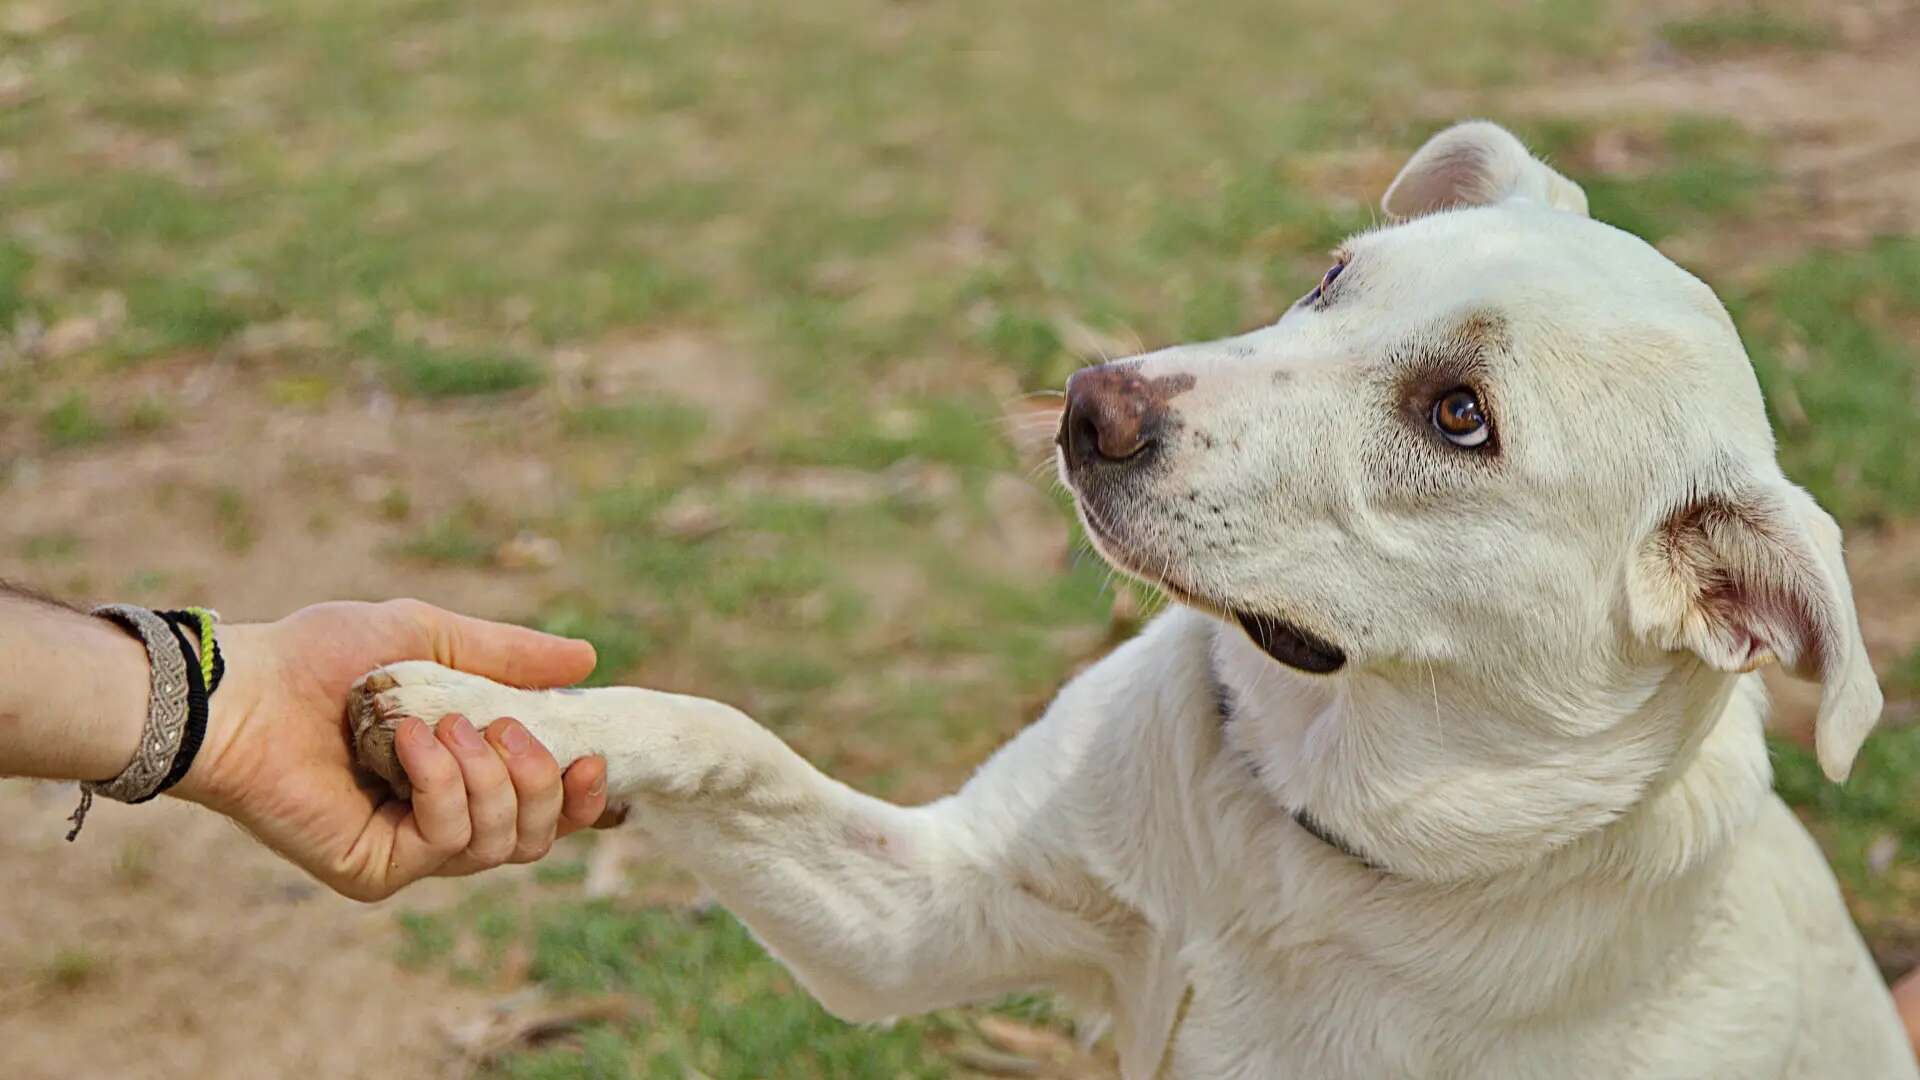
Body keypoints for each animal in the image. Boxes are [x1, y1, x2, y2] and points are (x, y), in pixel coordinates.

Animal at [353, 122, 1912, 1068]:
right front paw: (483, 711)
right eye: (1330, 279)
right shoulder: (921, 916)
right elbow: (718, 732)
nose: (1088, 404)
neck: (1310, 841)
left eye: (1460, 415)